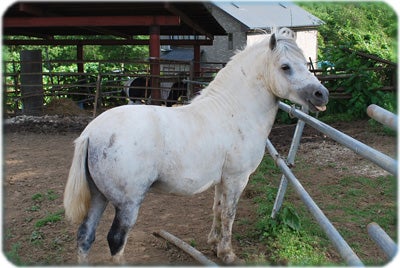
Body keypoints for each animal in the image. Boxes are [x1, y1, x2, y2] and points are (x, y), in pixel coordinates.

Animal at [64, 27, 328, 264]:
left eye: (305, 63)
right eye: (285, 67)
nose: (321, 94)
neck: (235, 111)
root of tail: (91, 133)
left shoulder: (222, 180)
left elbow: (217, 209)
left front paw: (213, 243)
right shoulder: (236, 179)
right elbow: (229, 214)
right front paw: (227, 253)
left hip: (99, 197)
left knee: (85, 237)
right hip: (127, 204)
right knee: (115, 241)